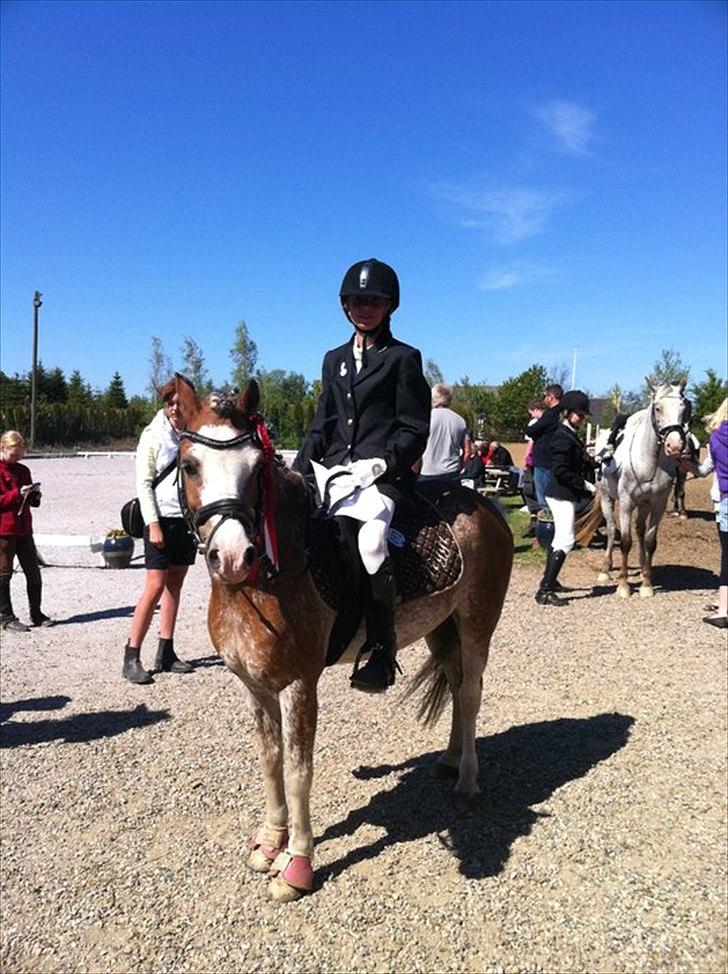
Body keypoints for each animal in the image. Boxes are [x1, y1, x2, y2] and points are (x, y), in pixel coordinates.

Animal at [173, 377, 514, 902]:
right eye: (190, 465)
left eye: (255, 469)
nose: (232, 556)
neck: (266, 578)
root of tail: (485, 506)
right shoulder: (253, 684)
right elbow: (270, 760)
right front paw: (270, 842)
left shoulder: (298, 684)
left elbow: (298, 772)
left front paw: (297, 864)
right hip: (442, 628)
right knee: (457, 689)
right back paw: (449, 760)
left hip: (477, 622)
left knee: (473, 693)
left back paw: (467, 783)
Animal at [576, 380, 688, 598]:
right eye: (657, 408)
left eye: (683, 407)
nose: (674, 446)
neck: (649, 461)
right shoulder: (627, 503)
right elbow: (625, 542)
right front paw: (623, 586)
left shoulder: (658, 504)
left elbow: (650, 541)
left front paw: (646, 584)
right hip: (607, 499)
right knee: (612, 530)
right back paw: (606, 570)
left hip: (643, 504)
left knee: (640, 531)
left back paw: (643, 567)